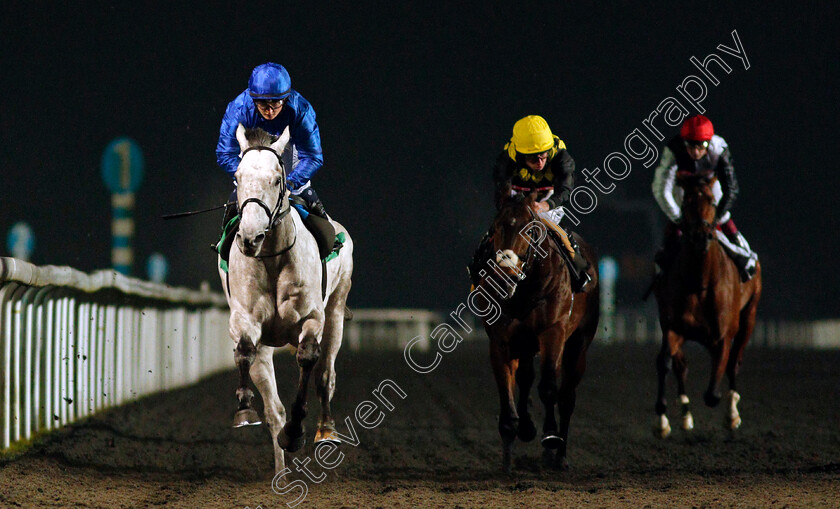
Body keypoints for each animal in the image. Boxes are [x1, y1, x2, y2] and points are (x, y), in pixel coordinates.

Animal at [218, 123, 352, 472]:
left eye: (277, 179)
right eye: (238, 176)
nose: (250, 238)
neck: (273, 258)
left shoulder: (311, 318)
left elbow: (308, 359)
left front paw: (295, 433)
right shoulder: (245, 320)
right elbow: (244, 352)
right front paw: (244, 409)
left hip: (336, 310)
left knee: (326, 374)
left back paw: (326, 430)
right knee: (274, 409)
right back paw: (281, 474)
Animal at [476, 191, 600, 472]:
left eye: (530, 230)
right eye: (496, 227)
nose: (504, 277)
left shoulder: (552, 331)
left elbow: (549, 388)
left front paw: (551, 437)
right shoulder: (500, 340)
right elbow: (508, 391)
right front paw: (508, 458)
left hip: (578, 343)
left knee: (567, 398)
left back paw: (560, 457)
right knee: (525, 378)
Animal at [652, 171, 764, 436]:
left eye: (713, 202)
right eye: (686, 202)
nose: (701, 236)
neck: (699, 282)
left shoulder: (724, 334)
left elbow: (713, 391)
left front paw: (730, 414)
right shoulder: (674, 328)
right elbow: (666, 363)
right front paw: (663, 420)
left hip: (750, 316)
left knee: (734, 363)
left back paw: (732, 413)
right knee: (679, 364)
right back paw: (685, 415)